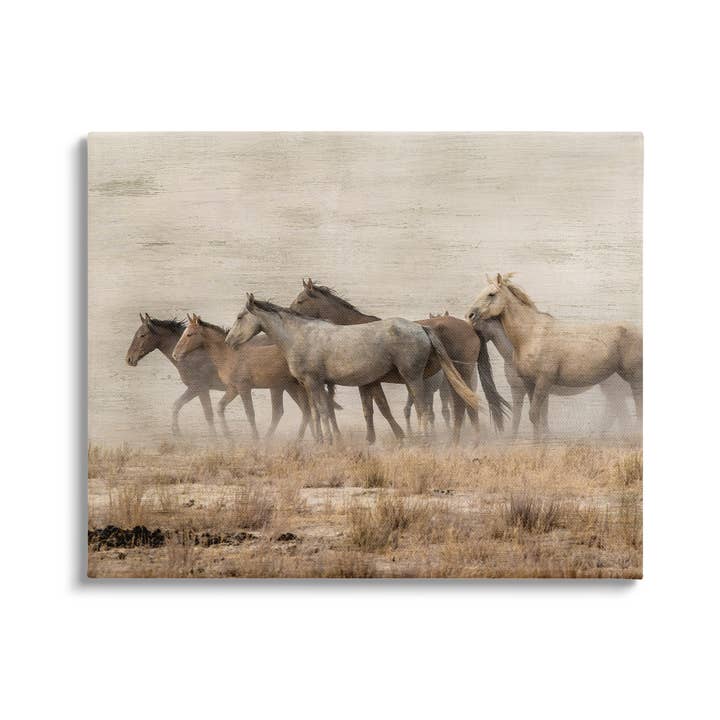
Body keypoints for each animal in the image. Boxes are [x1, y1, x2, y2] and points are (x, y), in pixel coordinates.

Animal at [172, 314, 317, 441]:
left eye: (189, 334)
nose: (175, 354)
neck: (229, 356)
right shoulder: (233, 388)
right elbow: (220, 407)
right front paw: (228, 437)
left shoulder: (243, 387)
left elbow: (250, 413)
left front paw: (255, 438)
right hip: (291, 386)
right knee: (305, 411)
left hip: (293, 386)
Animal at [226, 294, 481, 445]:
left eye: (239, 317)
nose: (229, 341)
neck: (300, 335)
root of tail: (422, 329)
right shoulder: (312, 384)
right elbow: (318, 411)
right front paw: (320, 440)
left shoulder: (314, 382)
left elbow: (324, 410)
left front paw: (329, 441)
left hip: (413, 378)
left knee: (423, 409)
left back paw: (423, 439)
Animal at [289, 279, 508, 444]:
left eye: (300, 300)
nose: (289, 312)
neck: (353, 329)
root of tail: (471, 328)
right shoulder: (367, 383)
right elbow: (369, 410)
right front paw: (371, 439)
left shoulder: (369, 382)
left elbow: (381, 408)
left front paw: (395, 435)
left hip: (462, 373)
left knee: (463, 404)